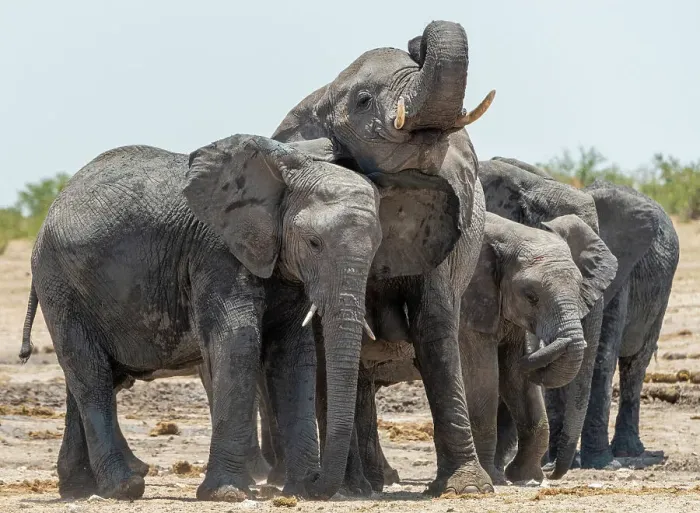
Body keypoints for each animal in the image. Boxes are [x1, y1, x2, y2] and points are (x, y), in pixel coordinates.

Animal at [20, 133, 463, 501]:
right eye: (314, 243)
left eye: (377, 247)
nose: (322, 485)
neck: (287, 174)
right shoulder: (216, 252)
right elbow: (238, 340)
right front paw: (227, 494)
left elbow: (294, 354)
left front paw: (299, 489)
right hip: (59, 281)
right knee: (90, 374)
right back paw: (123, 487)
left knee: (88, 378)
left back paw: (78, 489)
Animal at [270, 19, 497, 496]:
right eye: (363, 101)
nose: (418, 40)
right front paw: (344, 488)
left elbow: (434, 325)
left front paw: (465, 488)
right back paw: (362, 484)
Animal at [351, 212, 617, 490]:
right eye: (531, 296)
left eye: (579, 288)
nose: (552, 470)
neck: (513, 234)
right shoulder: (469, 306)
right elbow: (484, 376)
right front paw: (495, 478)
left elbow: (516, 378)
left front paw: (524, 477)